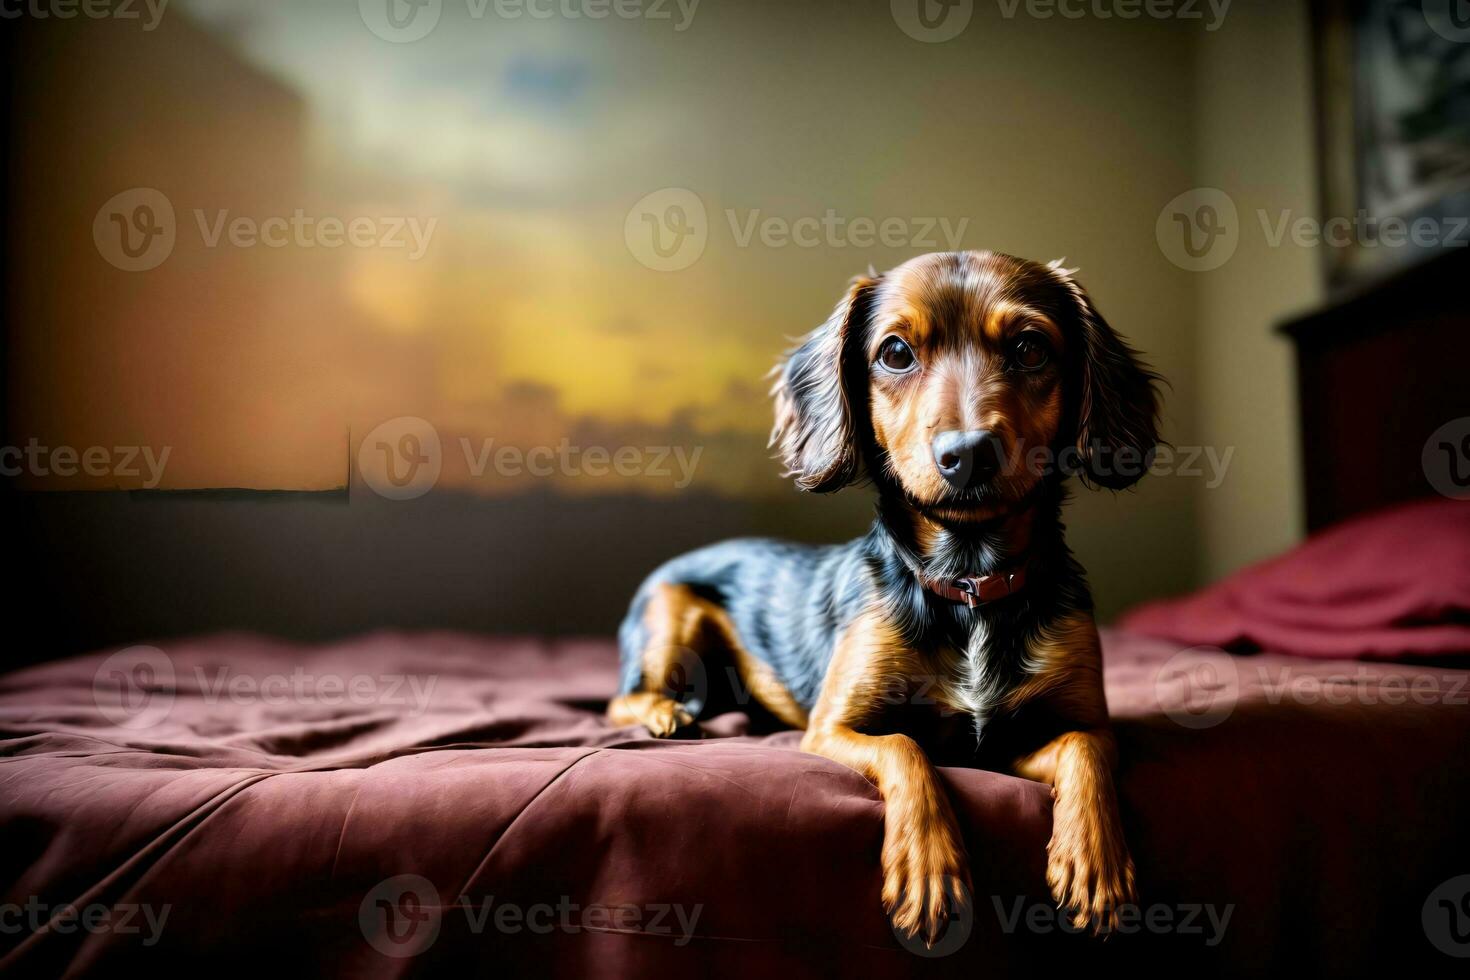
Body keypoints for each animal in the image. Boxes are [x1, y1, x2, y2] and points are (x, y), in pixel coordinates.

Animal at [608, 251, 1158, 940]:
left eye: (1031, 348)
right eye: (895, 352)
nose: (967, 454)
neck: (968, 581)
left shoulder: (1032, 738)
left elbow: (1088, 750)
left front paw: (1095, 864)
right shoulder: (831, 729)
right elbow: (905, 747)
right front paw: (928, 868)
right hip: (671, 623)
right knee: (621, 700)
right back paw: (668, 716)